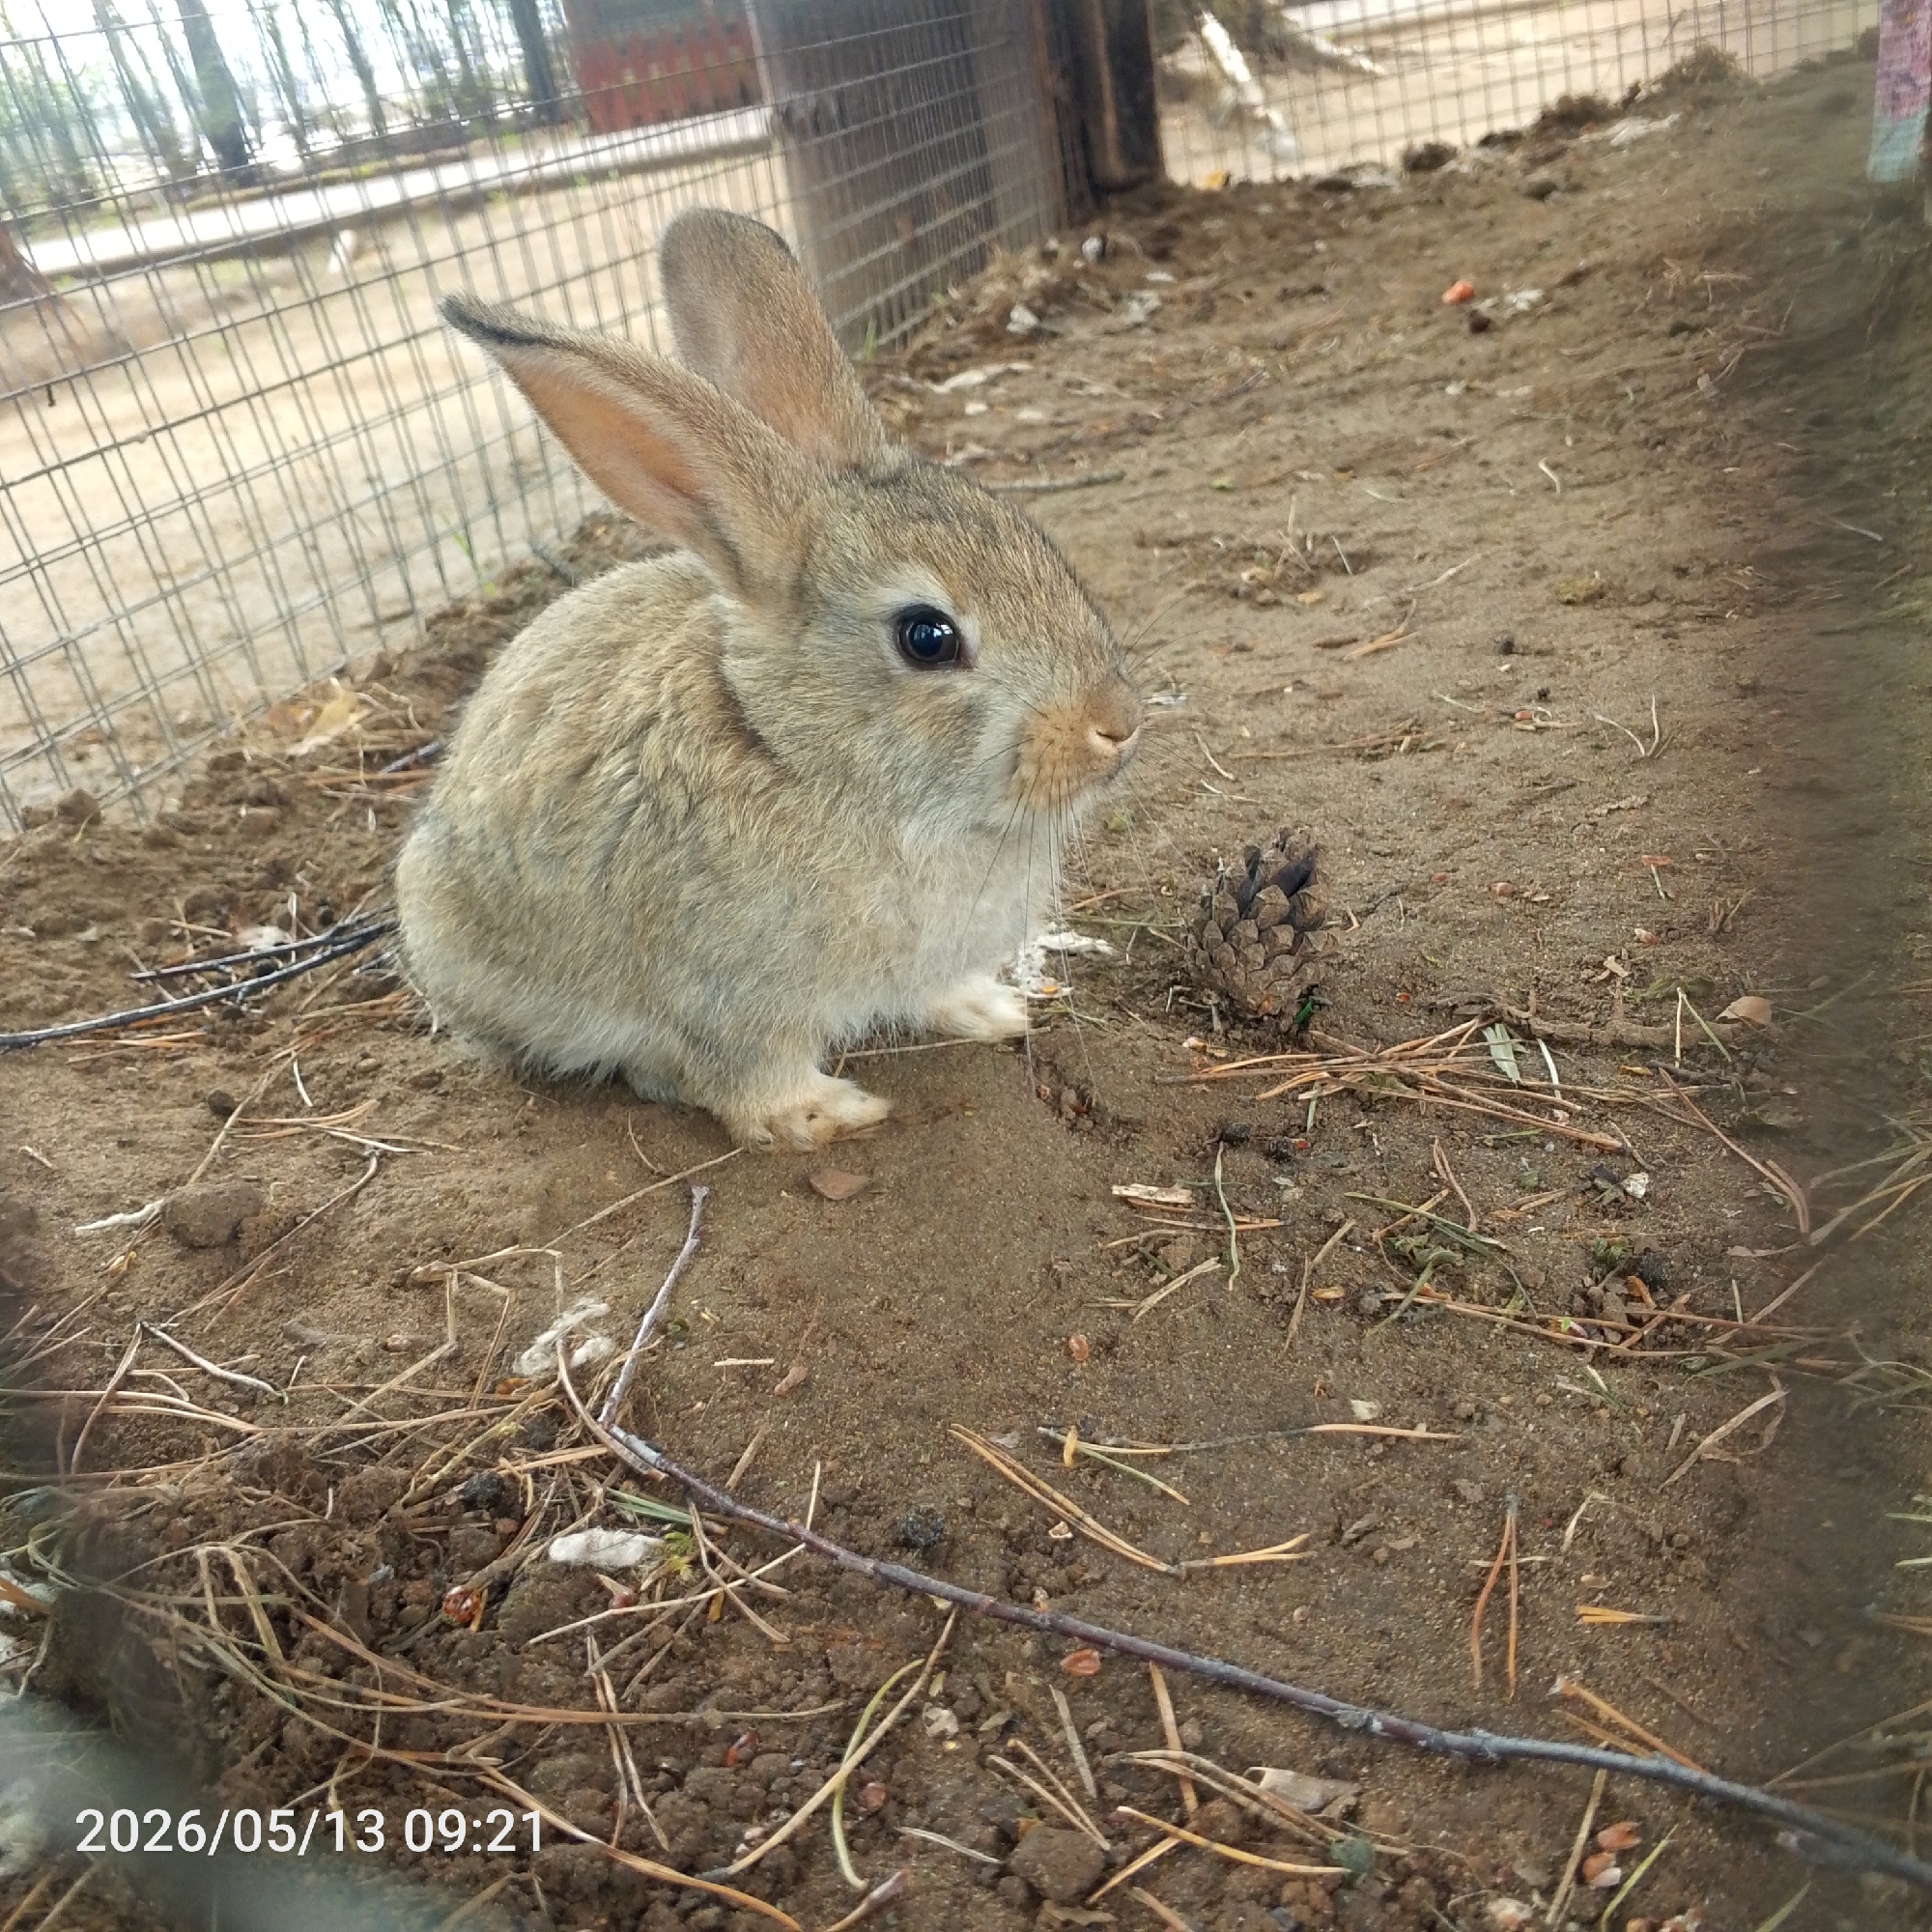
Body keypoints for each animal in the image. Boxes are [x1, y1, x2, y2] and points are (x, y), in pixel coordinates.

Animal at [394, 208, 1143, 1151]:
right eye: (927, 638)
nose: (1117, 724)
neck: (789, 745)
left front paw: (993, 1011)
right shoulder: (728, 999)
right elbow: (751, 1079)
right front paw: (826, 1114)